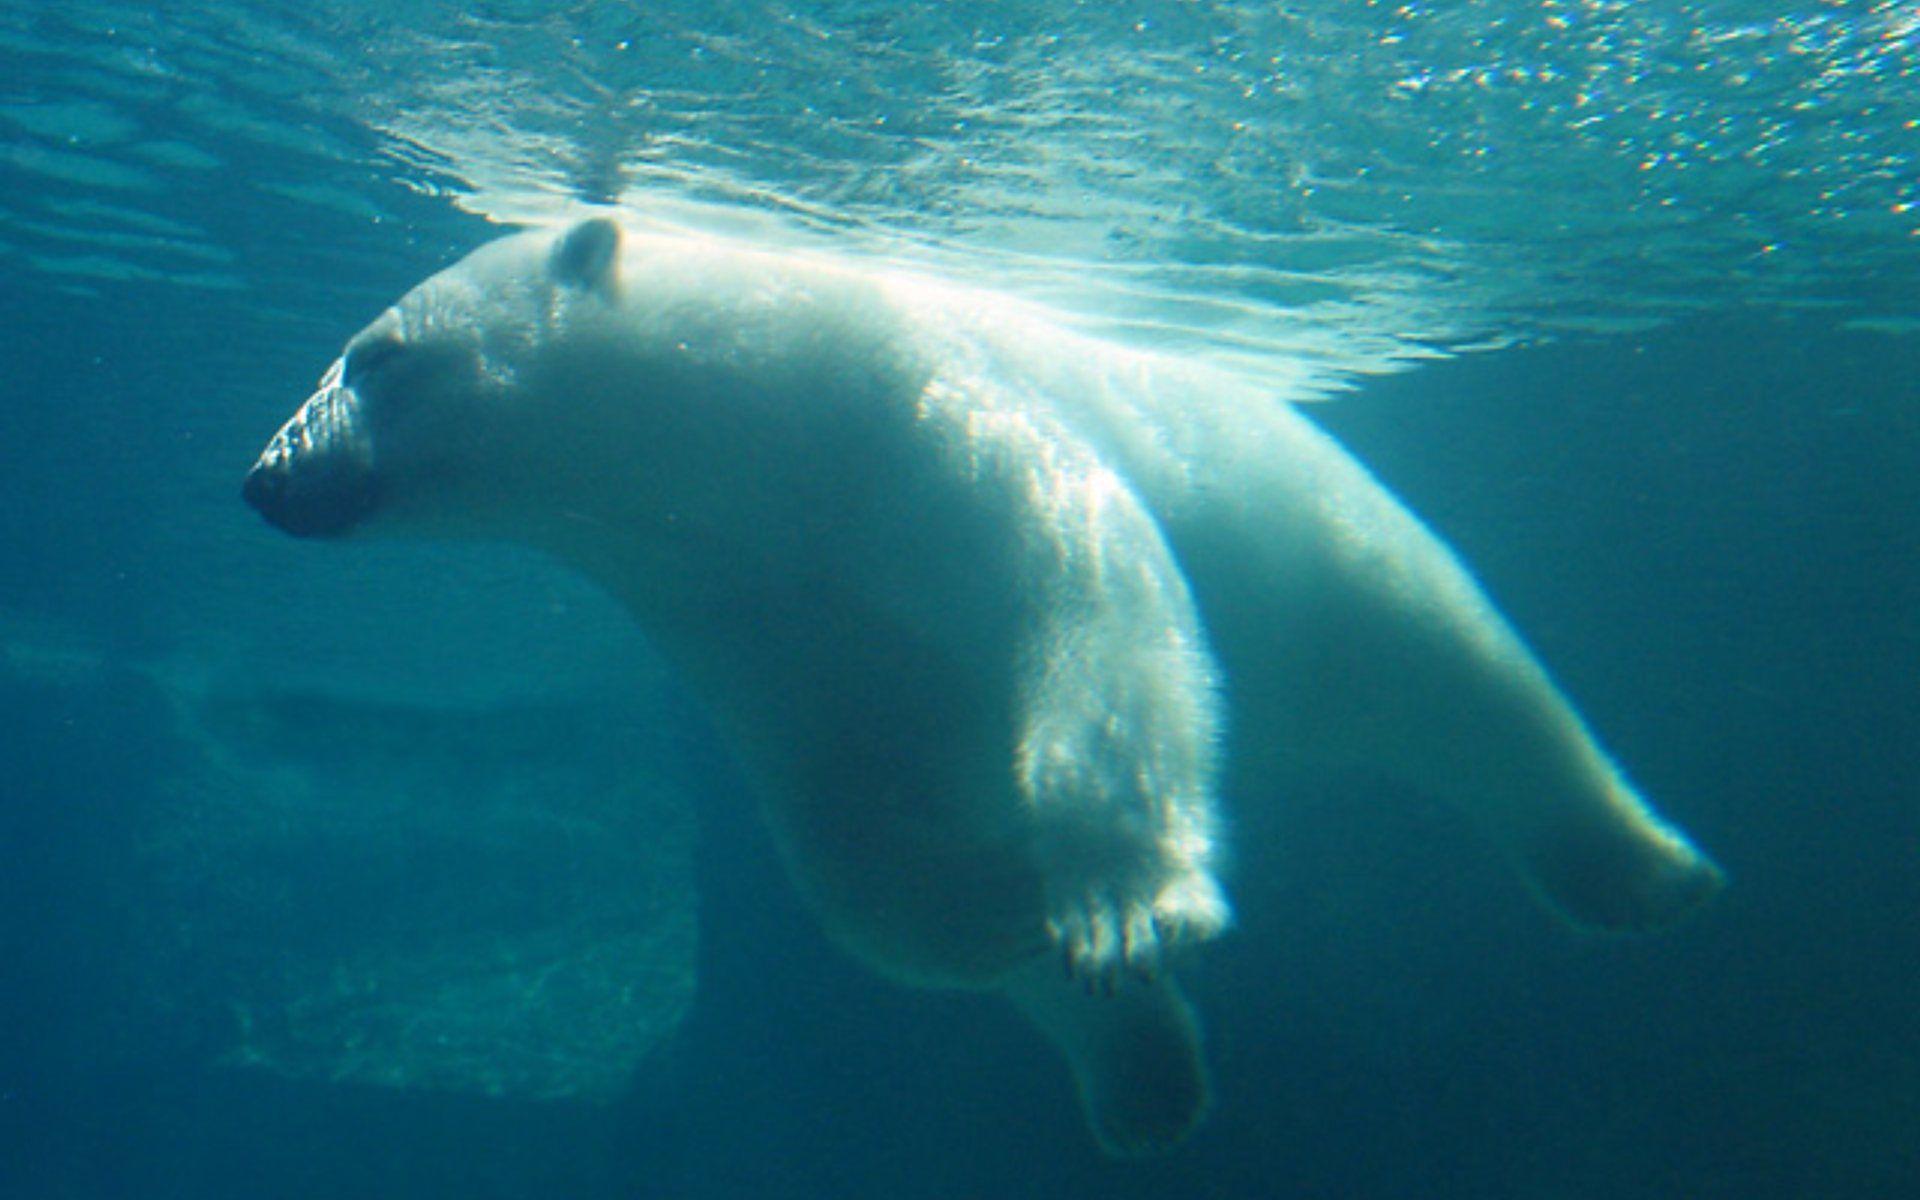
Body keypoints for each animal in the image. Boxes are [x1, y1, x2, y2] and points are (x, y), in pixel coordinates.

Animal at [243, 217, 1723, 1155]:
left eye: (377, 355)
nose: (265, 475)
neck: (754, 426)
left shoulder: (931, 430)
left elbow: (1101, 613)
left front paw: (1125, 906)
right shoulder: (752, 614)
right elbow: (864, 836)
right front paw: (1013, 920)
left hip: (1324, 541)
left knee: (1472, 684)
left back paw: (1641, 871)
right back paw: (1147, 1083)